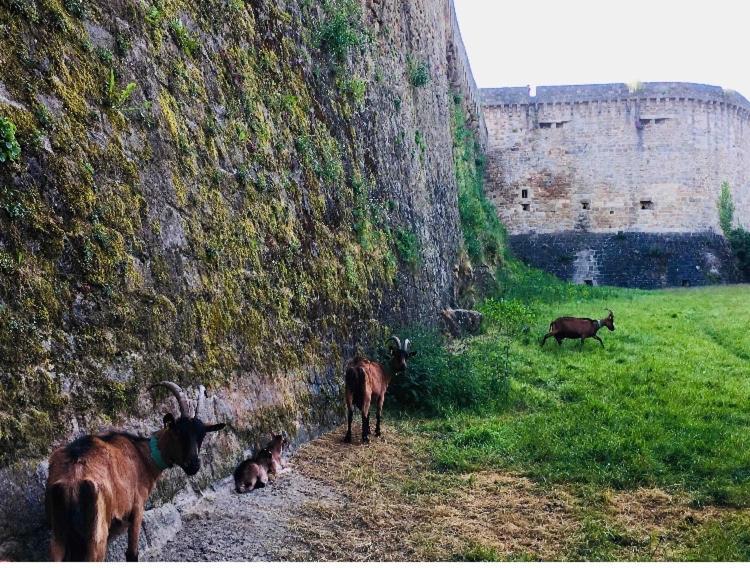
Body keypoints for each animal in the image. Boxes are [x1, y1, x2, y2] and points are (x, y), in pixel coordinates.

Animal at [44, 380, 225, 560]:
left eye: (202, 435)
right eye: (178, 432)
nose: (194, 465)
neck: (143, 454)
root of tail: (73, 477)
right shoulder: (137, 508)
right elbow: (132, 553)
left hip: (59, 533)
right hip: (97, 532)